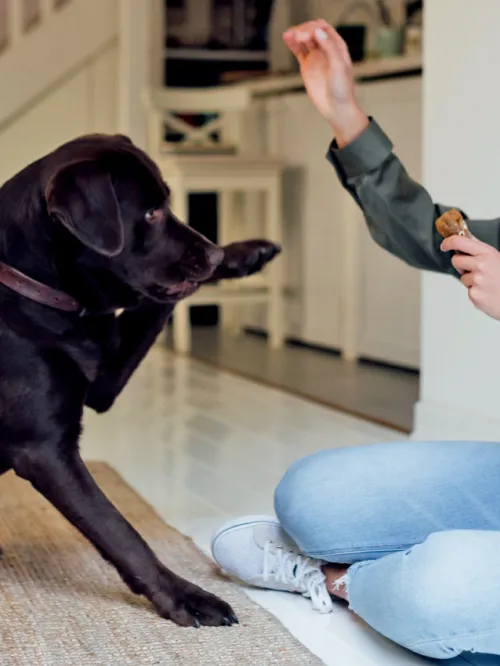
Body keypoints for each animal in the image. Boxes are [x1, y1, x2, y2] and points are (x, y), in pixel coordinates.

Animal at [0, 132, 282, 624]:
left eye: (168, 204)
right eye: (150, 214)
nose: (212, 252)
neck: (35, 288)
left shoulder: (104, 378)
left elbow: (157, 304)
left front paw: (243, 253)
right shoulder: (44, 451)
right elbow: (120, 532)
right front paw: (186, 597)